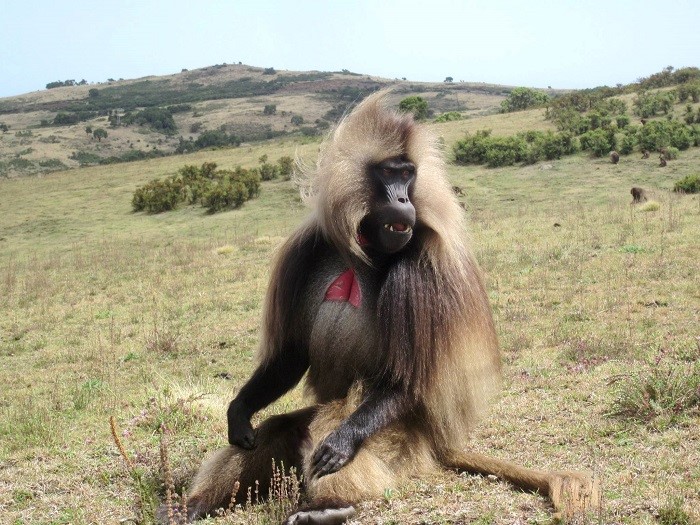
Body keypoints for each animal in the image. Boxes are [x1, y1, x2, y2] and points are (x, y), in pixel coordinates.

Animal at [176, 92, 600, 524]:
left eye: (408, 174)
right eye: (388, 173)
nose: (403, 199)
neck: (367, 251)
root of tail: (440, 443)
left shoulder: (419, 271)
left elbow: (404, 381)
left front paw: (342, 445)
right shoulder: (304, 251)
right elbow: (290, 356)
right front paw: (239, 411)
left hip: (407, 437)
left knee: (339, 418)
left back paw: (328, 506)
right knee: (277, 430)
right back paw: (192, 506)